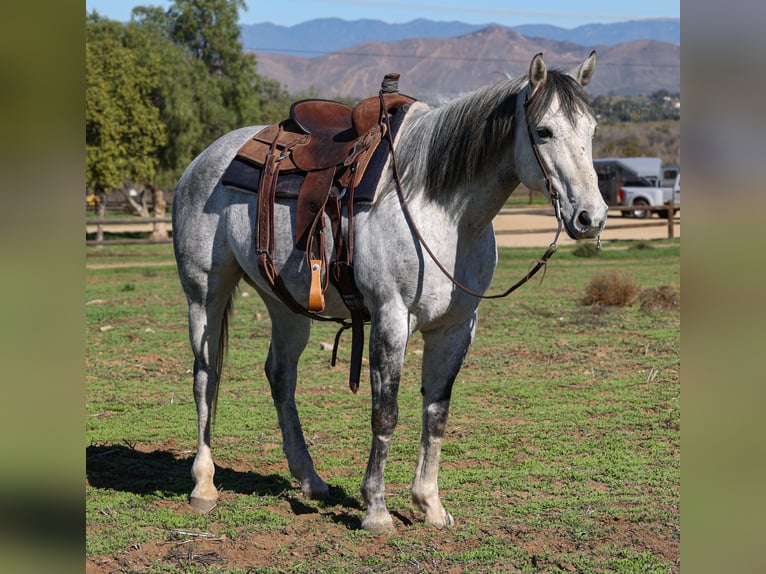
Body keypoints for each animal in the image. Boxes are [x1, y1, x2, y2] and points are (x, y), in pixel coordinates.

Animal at [172, 52, 607, 534]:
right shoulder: (391, 318)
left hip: (286, 304)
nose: (591, 217)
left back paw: (310, 480)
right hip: (204, 293)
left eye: (591, 129)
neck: (441, 209)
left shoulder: (456, 328)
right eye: (544, 131)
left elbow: (436, 412)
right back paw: (204, 485)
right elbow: (386, 412)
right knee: (205, 377)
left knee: (280, 376)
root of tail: (203, 160)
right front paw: (376, 510)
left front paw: (430, 504)